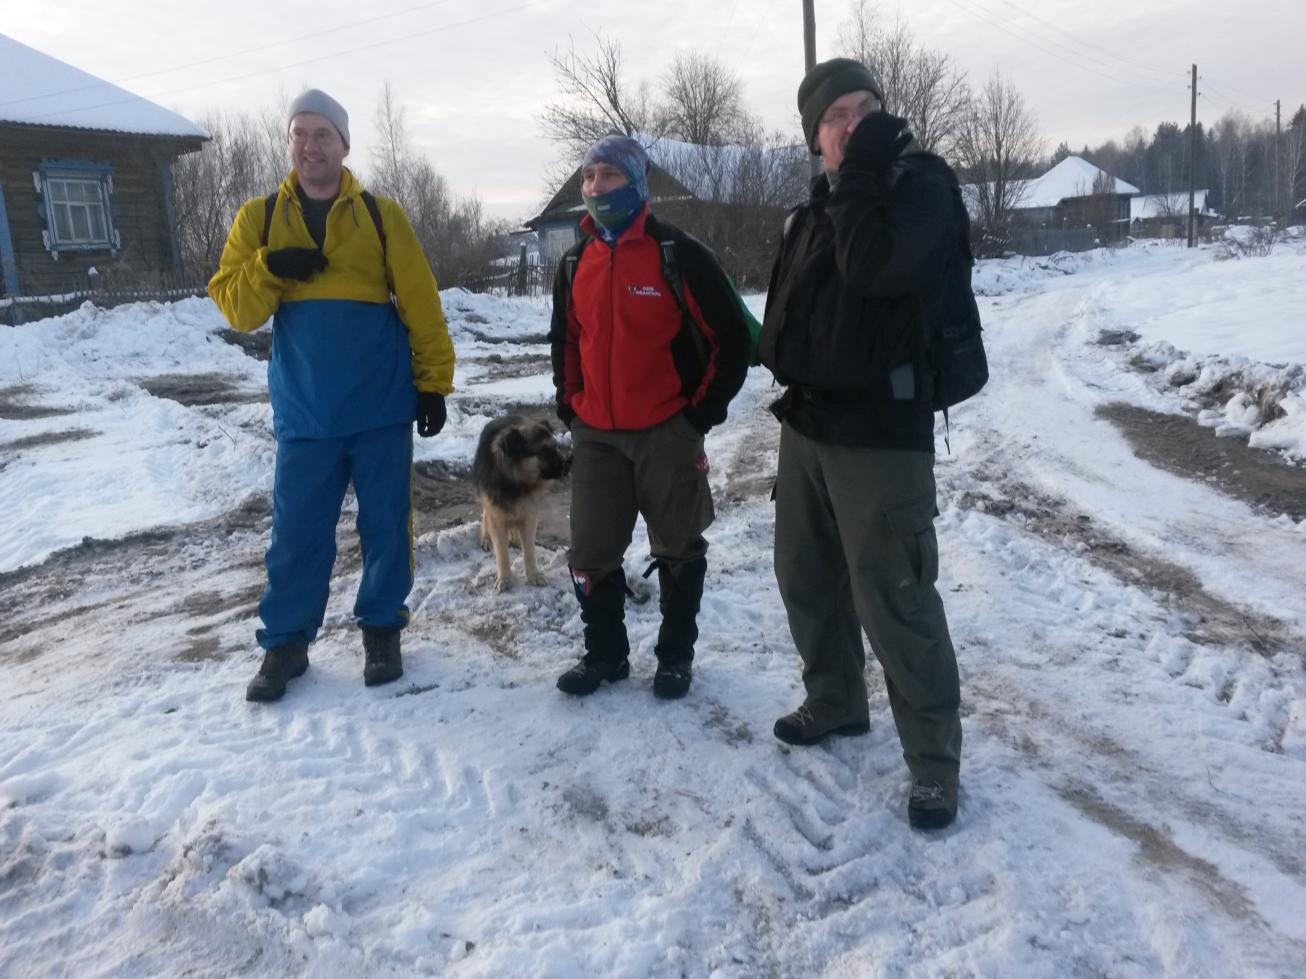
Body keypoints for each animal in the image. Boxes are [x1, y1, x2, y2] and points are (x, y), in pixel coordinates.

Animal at [473, 414, 571, 592]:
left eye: (555, 447)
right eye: (544, 450)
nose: (568, 465)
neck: (515, 480)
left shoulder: (528, 513)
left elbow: (529, 550)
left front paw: (533, 575)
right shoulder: (496, 513)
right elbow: (501, 551)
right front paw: (504, 578)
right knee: (485, 517)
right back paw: (486, 538)